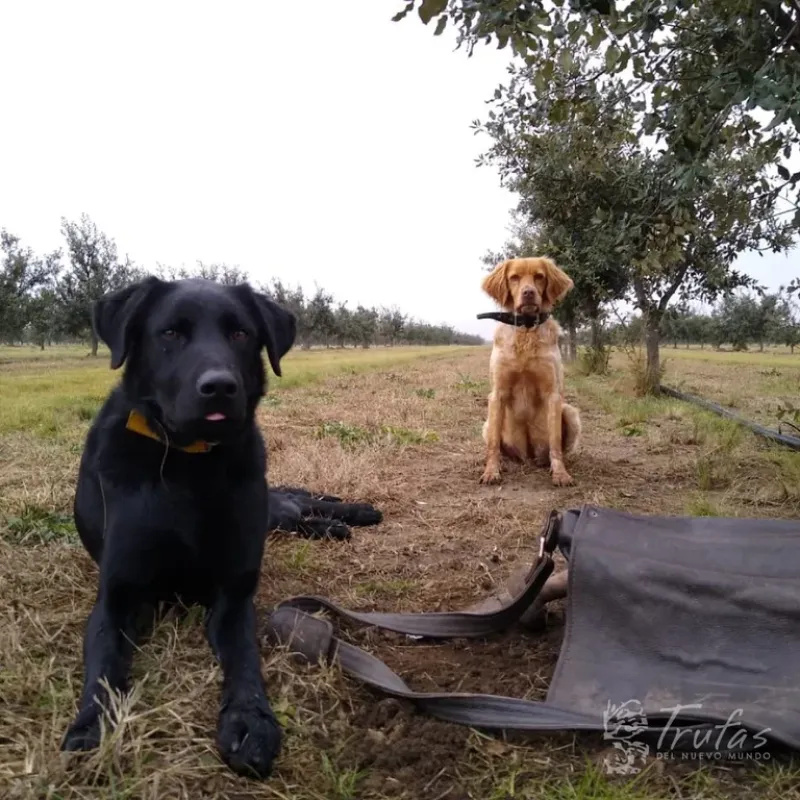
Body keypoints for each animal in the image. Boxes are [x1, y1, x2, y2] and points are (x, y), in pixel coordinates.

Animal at [61, 278, 376, 780]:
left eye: (241, 334)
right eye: (170, 333)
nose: (220, 388)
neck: (188, 466)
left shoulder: (233, 596)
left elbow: (244, 660)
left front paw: (250, 722)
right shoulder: (117, 597)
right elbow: (104, 667)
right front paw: (90, 726)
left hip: (272, 507)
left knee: (302, 503)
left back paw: (356, 513)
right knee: (300, 509)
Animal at [476, 256, 580, 488]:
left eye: (539, 277)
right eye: (514, 277)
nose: (529, 293)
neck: (526, 329)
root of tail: (528, 456)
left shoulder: (553, 395)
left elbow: (555, 443)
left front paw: (560, 474)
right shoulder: (497, 394)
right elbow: (494, 445)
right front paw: (491, 471)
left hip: (569, 412)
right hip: (487, 423)